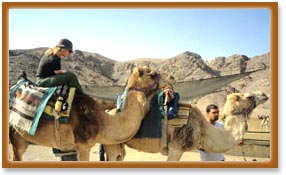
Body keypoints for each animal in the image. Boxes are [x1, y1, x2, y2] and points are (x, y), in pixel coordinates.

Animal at [104, 91, 268, 161]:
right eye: (249, 97)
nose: (264, 94)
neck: (203, 130)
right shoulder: (176, 148)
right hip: (112, 143)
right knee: (115, 157)